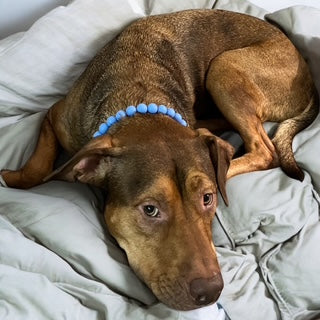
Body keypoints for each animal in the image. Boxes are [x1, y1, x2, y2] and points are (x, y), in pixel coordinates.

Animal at [1, 10, 318, 310]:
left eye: (207, 199)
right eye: (150, 210)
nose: (211, 292)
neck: (141, 102)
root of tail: (310, 81)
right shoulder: (55, 115)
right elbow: (40, 163)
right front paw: (17, 178)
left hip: (225, 67)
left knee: (265, 150)